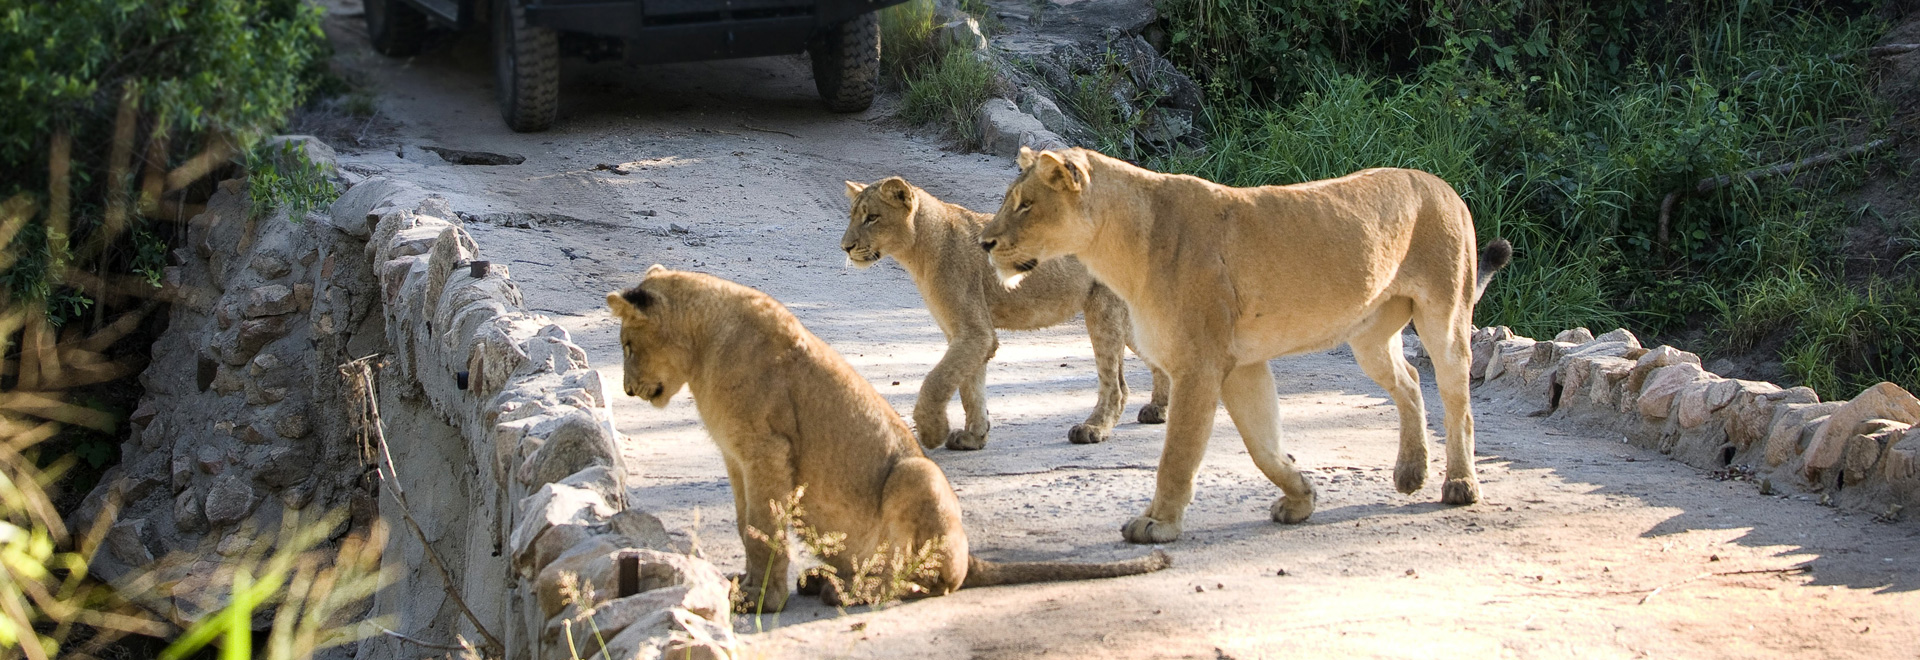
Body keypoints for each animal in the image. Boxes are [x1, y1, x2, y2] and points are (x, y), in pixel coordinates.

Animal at [606, 266, 1171, 612]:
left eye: (628, 344)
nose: (628, 390)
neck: (704, 346)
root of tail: (971, 554)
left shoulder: (767, 453)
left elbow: (763, 529)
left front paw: (762, 601)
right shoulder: (736, 460)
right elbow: (748, 526)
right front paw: (743, 587)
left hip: (917, 473)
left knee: (932, 580)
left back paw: (848, 592)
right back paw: (827, 580)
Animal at [840, 176, 1169, 450]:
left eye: (872, 217)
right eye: (852, 216)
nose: (845, 247)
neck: (918, 248)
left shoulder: (975, 332)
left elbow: (937, 381)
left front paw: (933, 432)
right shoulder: (965, 334)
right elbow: (970, 387)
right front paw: (974, 436)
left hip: (1103, 310)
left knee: (1115, 385)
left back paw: (1093, 429)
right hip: (1125, 319)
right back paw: (1158, 410)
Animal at [978, 147, 1512, 544]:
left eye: (1025, 204)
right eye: (1009, 200)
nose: (985, 243)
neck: (1118, 245)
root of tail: (1443, 185)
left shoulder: (1199, 364)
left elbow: (1178, 454)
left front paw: (1157, 523)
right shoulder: (1240, 366)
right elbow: (1263, 446)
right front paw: (1301, 496)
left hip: (1445, 317)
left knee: (1456, 400)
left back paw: (1460, 483)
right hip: (1368, 336)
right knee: (1411, 380)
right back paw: (1410, 471)